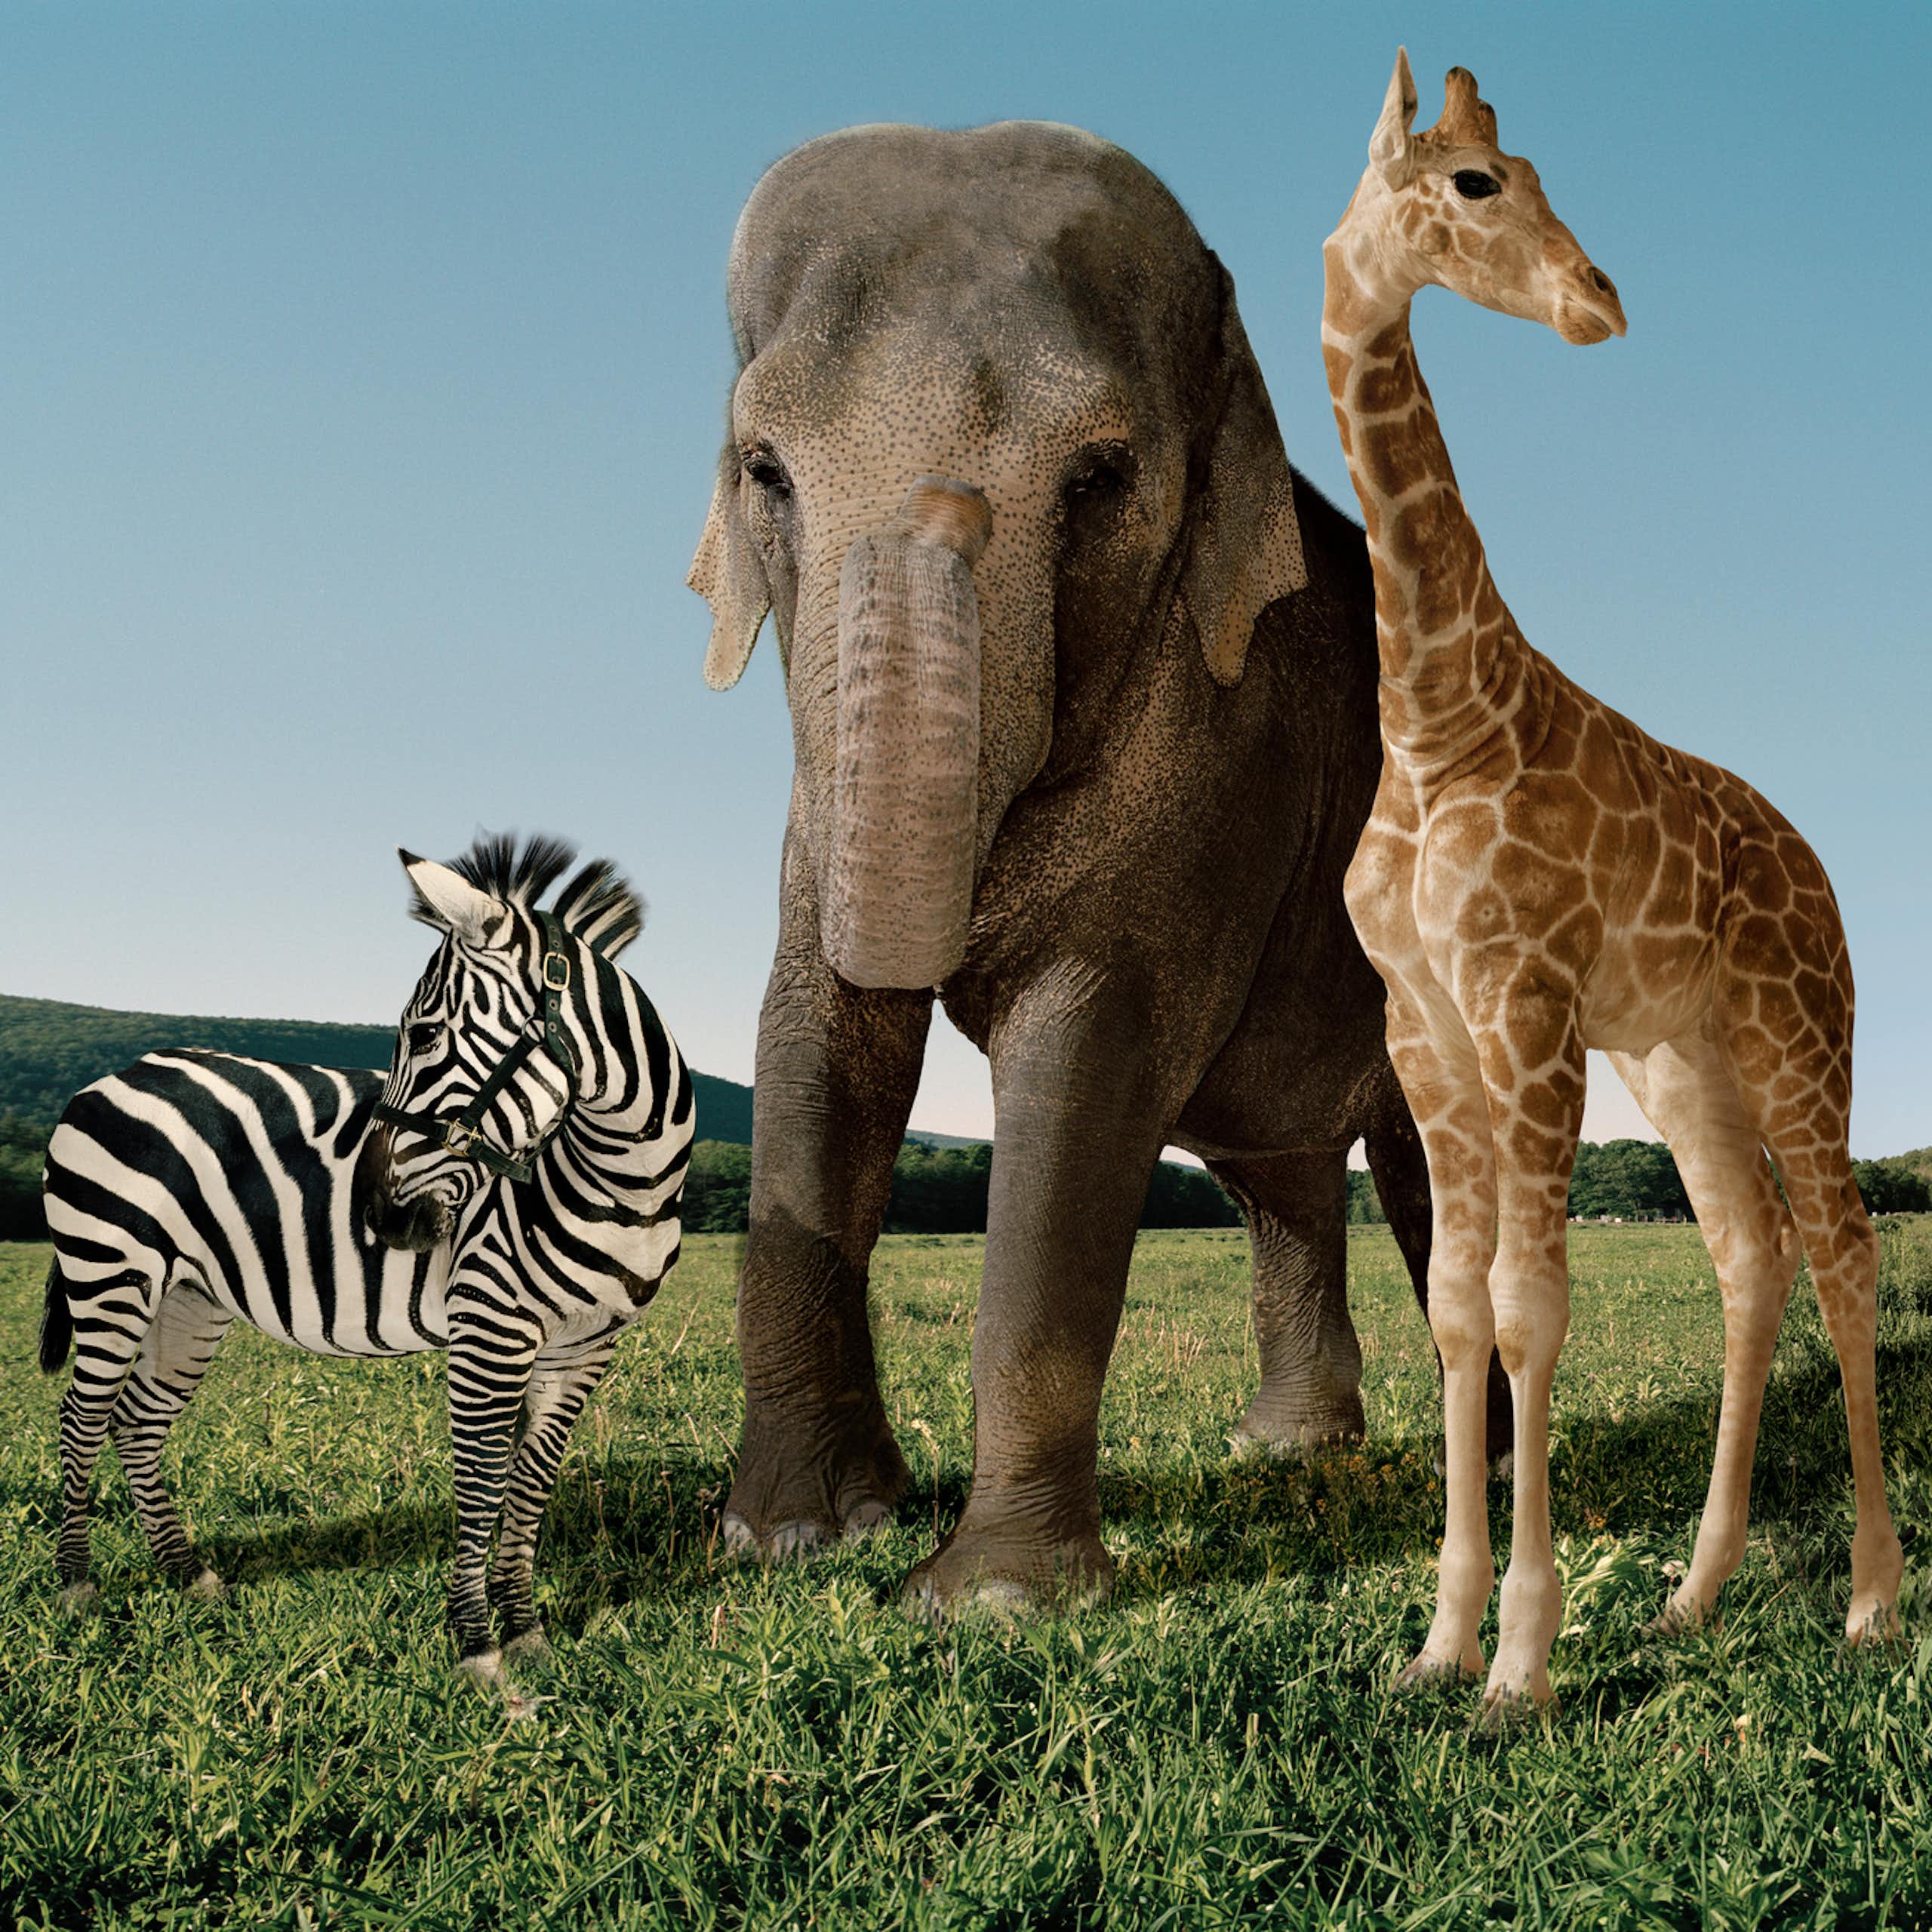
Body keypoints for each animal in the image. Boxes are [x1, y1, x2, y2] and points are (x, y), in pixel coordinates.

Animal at [689, 119, 1511, 1610]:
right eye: (764, 468)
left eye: (1101, 479)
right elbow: (812, 1035)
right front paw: (797, 1537)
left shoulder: (1225, 761)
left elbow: (1084, 1064)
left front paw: (991, 1604)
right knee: (1285, 1175)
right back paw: (1289, 1456)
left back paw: (1478, 1468)